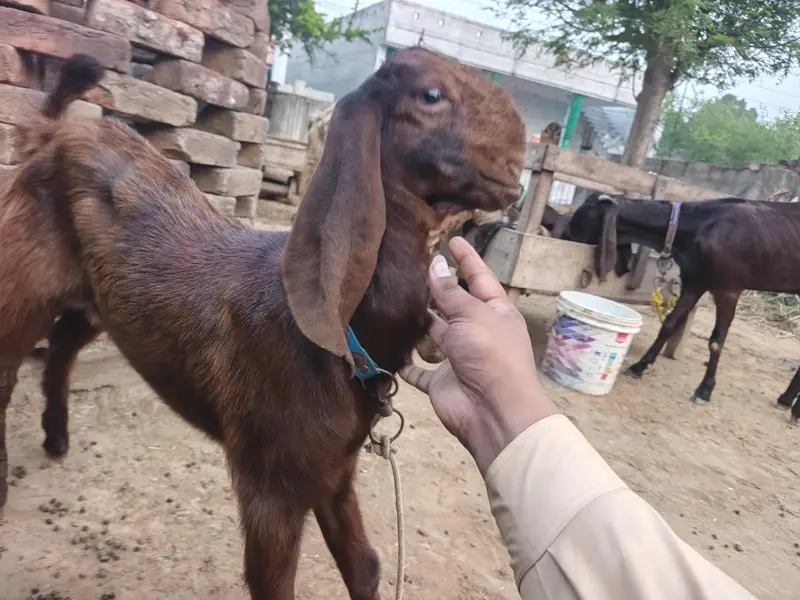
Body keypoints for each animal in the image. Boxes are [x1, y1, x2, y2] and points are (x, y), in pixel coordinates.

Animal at [0, 50, 525, 599]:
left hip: (97, 299)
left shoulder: (336, 469)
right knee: (9, 366)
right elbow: (271, 579)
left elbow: (364, 564)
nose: (517, 161)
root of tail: (54, 132)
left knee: (63, 345)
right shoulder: (270, 480)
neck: (343, 342)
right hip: (22, 276)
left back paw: (56, 440)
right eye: (431, 94)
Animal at [568, 192, 800, 420]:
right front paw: (639, 366)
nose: (566, 236)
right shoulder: (693, 283)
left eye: (582, 216)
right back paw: (787, 401)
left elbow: (717, 341)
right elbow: (670, 324)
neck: (700, 225)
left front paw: (704, 391)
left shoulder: (728, 289)